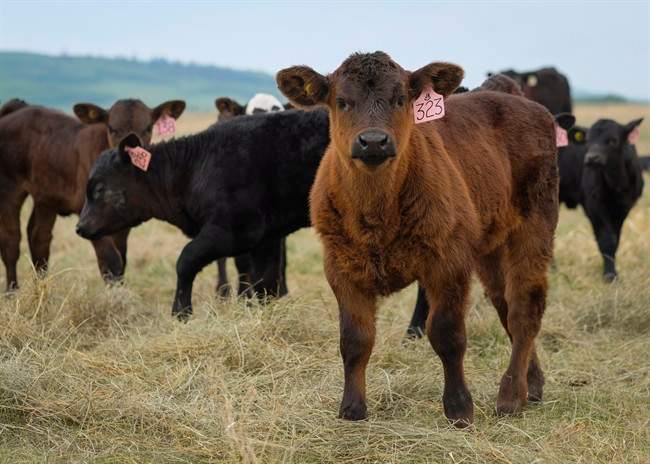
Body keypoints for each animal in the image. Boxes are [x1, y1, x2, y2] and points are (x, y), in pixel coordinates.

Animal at [0, 99, 185, 291]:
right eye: (112, 128)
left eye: (148, 128)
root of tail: (19, 108)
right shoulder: (89, 216)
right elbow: (112, 261)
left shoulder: (123, 222)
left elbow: (122, 260)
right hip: (8, 188)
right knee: (10, 241)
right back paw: (12, 291)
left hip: (45, 196)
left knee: (39, 237)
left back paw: (40, 289)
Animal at [75, 108, 330, 320]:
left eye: (99, 189)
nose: (80, 227)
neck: (193, 170)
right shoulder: (268, 236)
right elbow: (265, 283)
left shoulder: (236, 231)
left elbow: (186, 259)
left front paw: (181, 312)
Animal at [277, 51, 559, 427]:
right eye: (342, 101)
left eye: (401, 99)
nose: (373, 141)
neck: (377, 214)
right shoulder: (340, 267)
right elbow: (355, 339)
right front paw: (352, 408)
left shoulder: (448, 263)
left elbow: (446, 334)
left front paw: (459, 408)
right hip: (490, 246)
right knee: (505, 304)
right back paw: (533, 383)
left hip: (534, 226)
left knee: (524, 307)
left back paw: (512, 395)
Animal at [558, 117, 644, 281]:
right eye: (587, 141)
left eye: (613, 140)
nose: (592, 158)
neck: (617, 184)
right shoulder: (594, 207)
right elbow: (606, 239)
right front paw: (610, 275)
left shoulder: (623, 209)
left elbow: (615, 240)